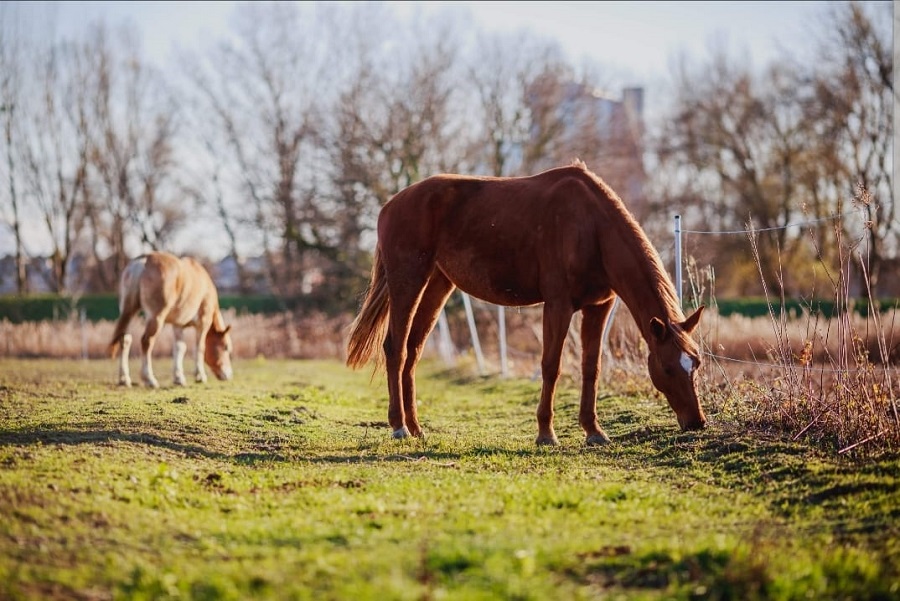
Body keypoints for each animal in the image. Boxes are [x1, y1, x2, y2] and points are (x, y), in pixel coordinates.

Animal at [107, 251, 234, 386]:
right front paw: (200, 376)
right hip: (156, 317)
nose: (229, 375)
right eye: (226, 347)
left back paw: (124, 378)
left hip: (129, 312)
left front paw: (178, 378)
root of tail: (145, 260)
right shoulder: (203, 323)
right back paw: (149, 378)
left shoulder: (178, 325)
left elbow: (180, 348)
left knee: (124, 339)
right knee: (146, 341)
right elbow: (200, 348)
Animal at [348, 159, 708, 446]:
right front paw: (546, 433)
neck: (591, 226)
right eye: (666, 367)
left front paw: (593, 431)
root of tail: (390, 205)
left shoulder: (598, 307)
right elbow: (551, 365)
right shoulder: (558, 305)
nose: (696, 423)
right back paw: (398, 427)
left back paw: (415, 427)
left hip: (437, 285)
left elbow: (591, 367)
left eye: (696, 363)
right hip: (408, 281)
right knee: (395, 348)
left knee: (413, 350)